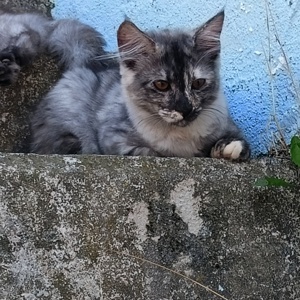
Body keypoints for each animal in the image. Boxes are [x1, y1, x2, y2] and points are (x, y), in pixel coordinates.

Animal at [0, 8, 251, 159]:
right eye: (161, 85)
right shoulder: (113, 137)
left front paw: (226, 149)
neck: (180, 137)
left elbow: (240, 145)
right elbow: (147, 152)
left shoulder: (229, 127)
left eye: (198, 83)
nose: (185, 109)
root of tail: (84, 64)